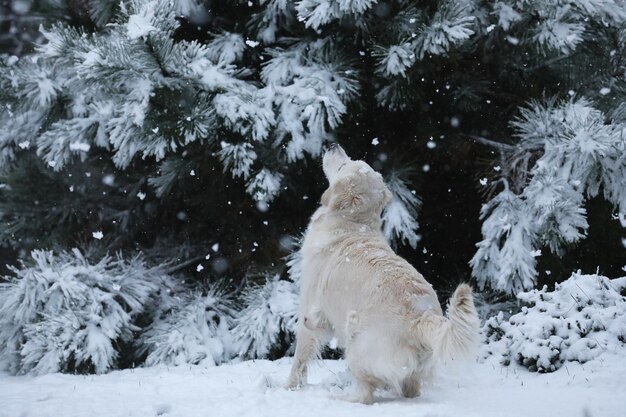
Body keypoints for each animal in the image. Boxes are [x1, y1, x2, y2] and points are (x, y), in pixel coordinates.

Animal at [286, 144, 478, 404]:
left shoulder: (309, 309)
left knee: (365, 393)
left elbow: (300, 356)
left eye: (344, 165)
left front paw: (288, 387)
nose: (334, 145)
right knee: (409, 389)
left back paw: (340, 397)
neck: (353, 223)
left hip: (356, 338)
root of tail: (422, 315)